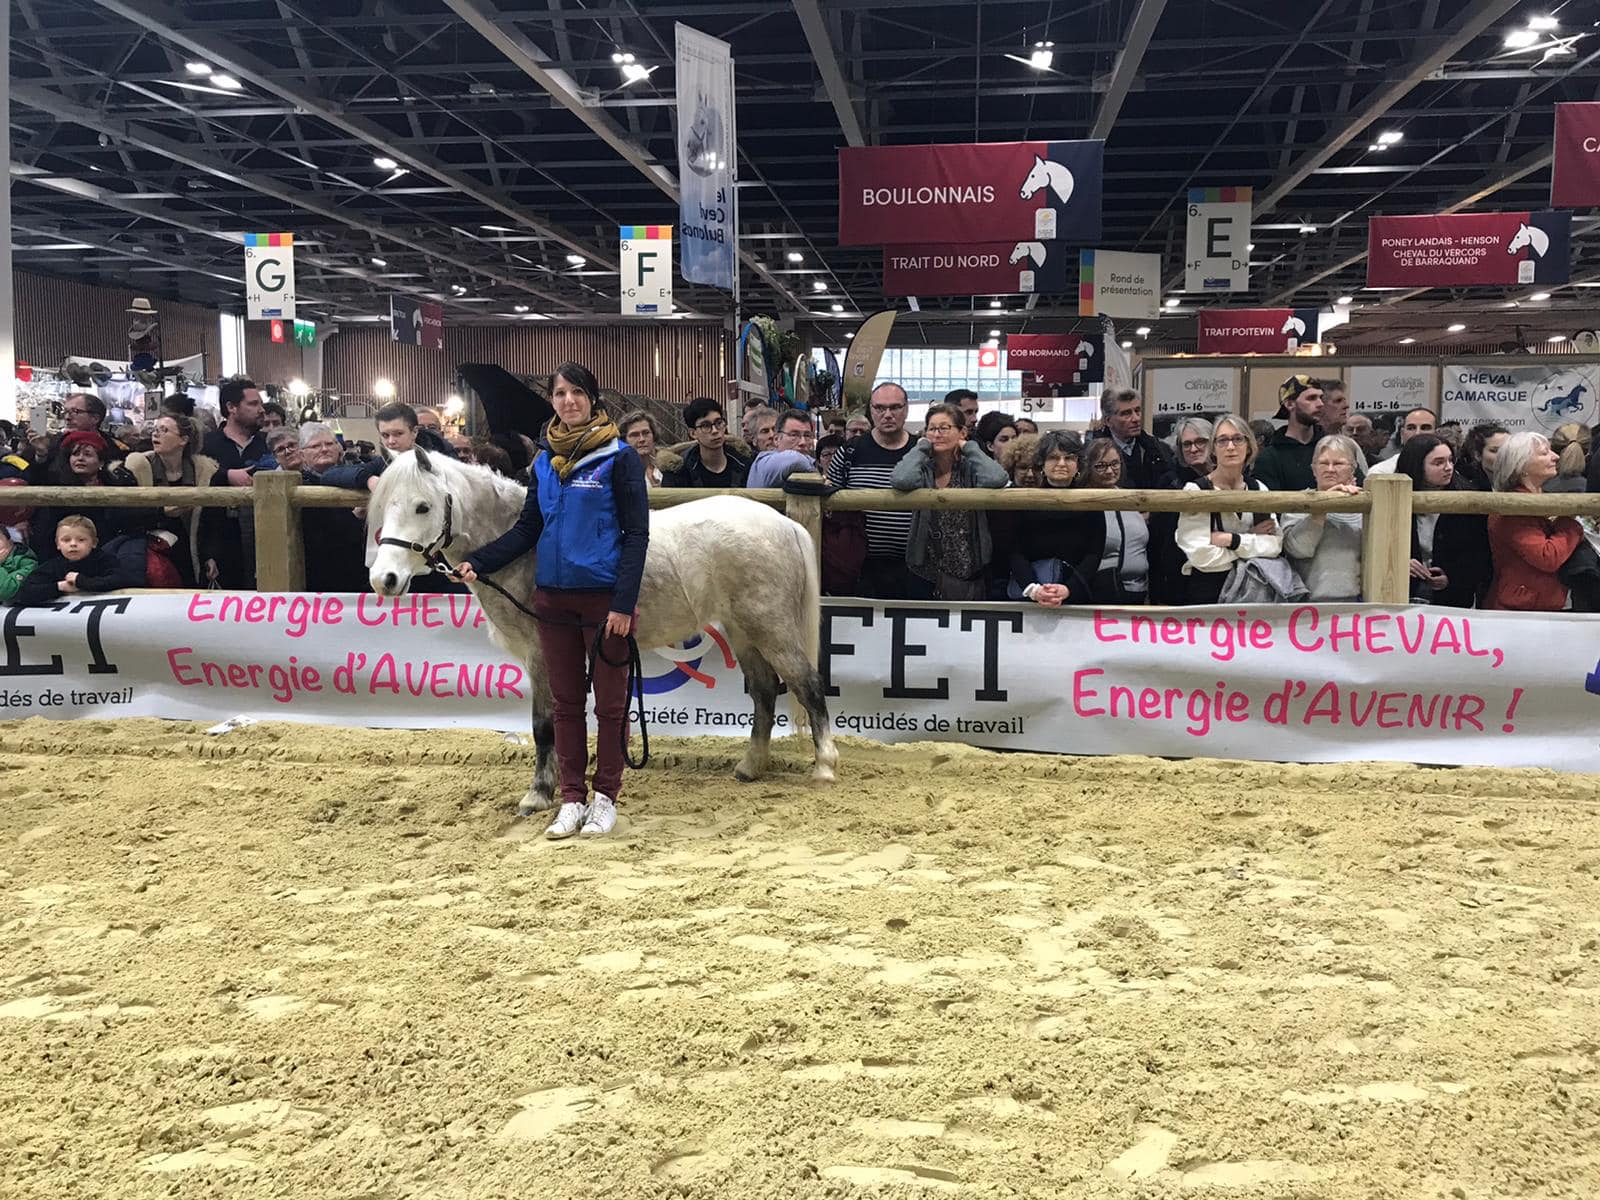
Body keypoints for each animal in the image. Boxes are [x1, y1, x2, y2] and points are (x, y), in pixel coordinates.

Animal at [364, 451, 838, 819]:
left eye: (423, 507)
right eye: (386, 506)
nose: (384, 579)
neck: (529, 549)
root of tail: (784, 524)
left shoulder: (542, 655)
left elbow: (544, 725)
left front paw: (538, 794)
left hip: (771, 627)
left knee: (808, 686)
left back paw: (825, 766)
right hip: (743, 632)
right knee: (763, 691)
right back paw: (750, 766)